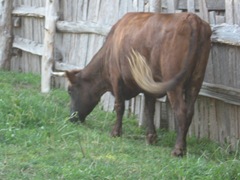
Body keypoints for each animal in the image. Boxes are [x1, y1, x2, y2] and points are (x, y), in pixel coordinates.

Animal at [65, 12, 212, 156]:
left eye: (70, 90)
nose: (71, 118)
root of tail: (192, 18)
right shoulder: (149, 87)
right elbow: (149, 110)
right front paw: (151, 137)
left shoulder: (116, 77)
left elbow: (119, 106)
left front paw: (115, 132)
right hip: (196, 80)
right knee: (190, 111)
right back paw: (184, 147)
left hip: (174, 82)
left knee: (181, 111)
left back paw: (178, 149)